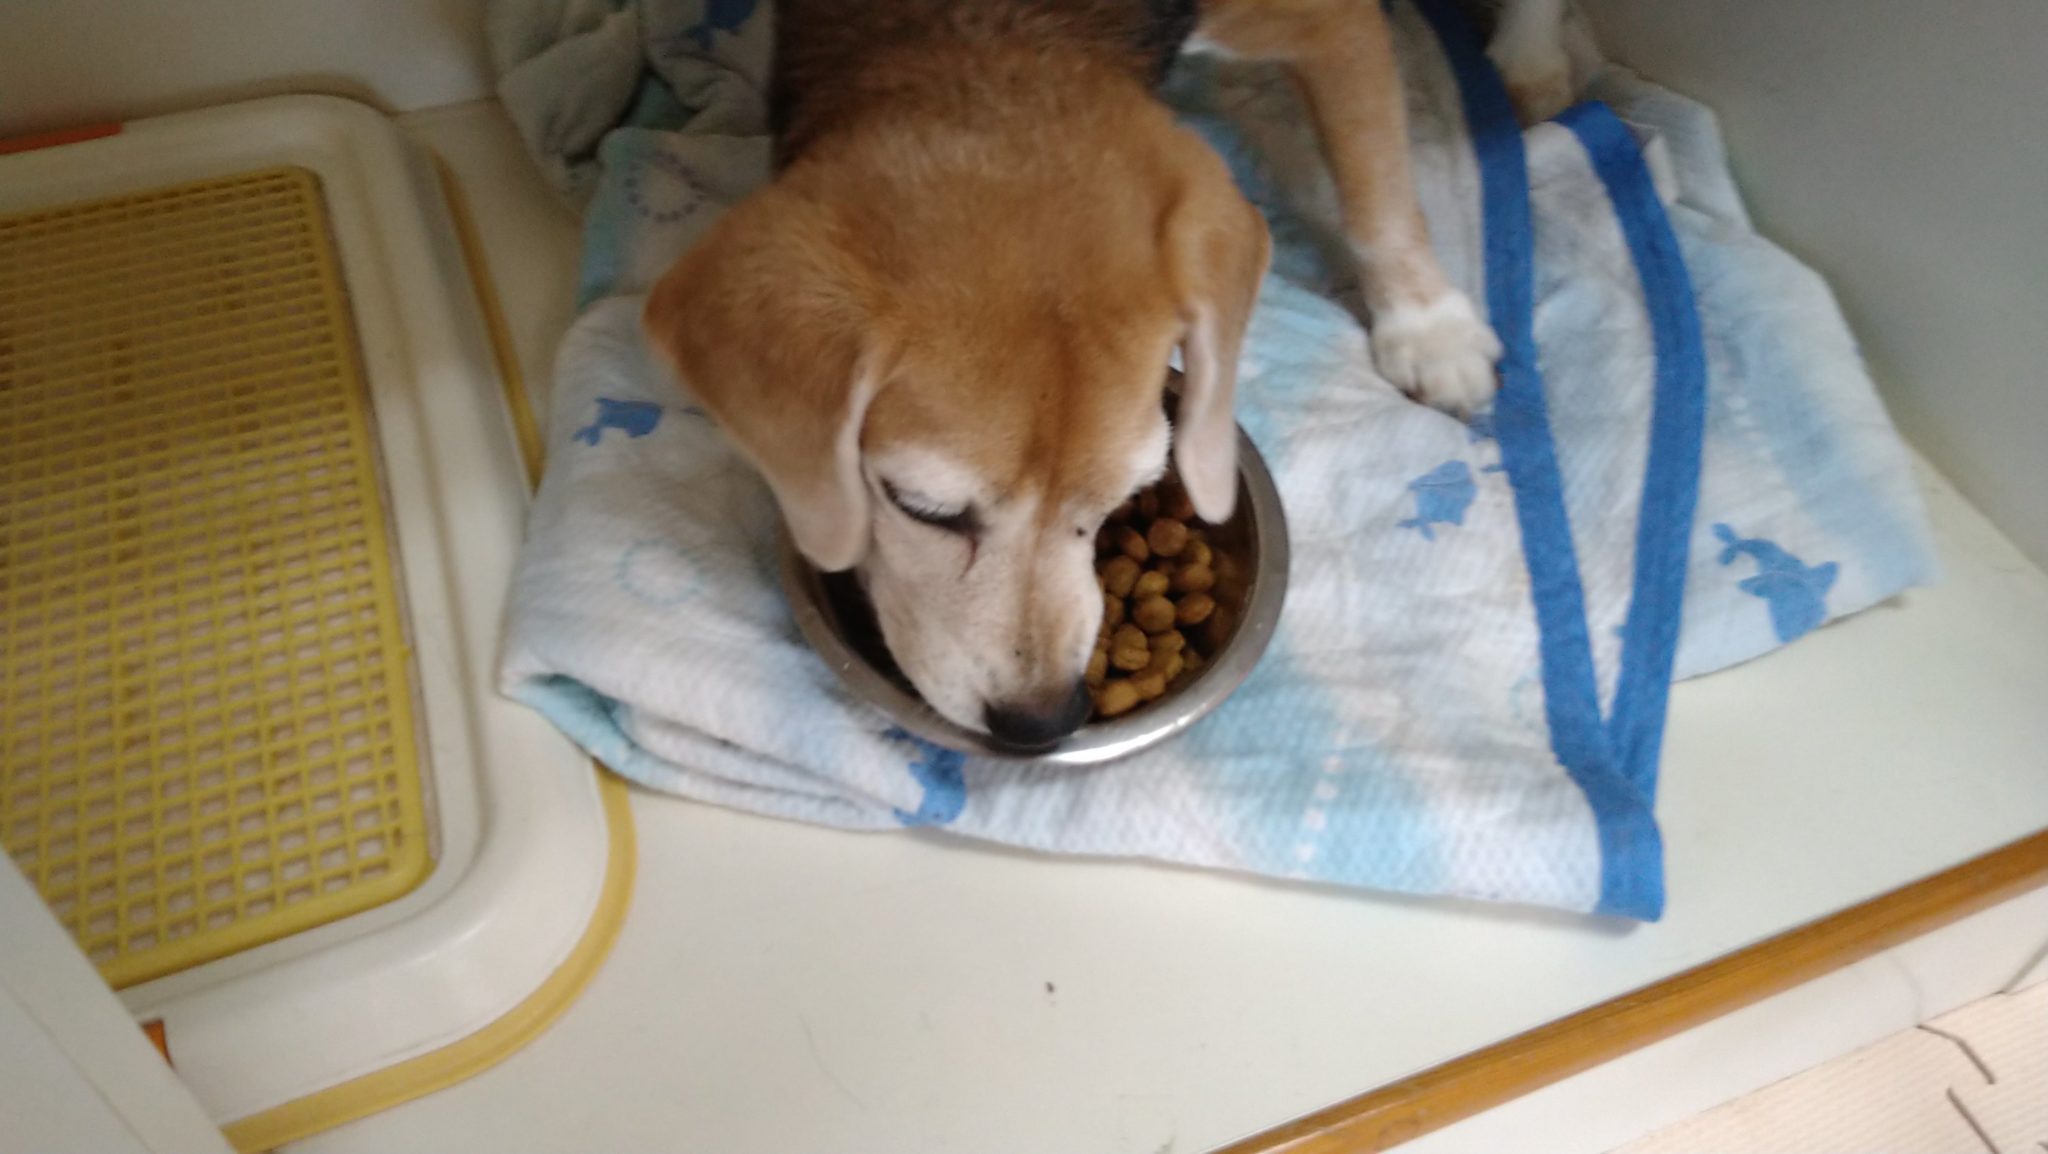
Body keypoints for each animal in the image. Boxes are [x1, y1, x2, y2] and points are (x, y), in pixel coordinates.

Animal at [644, 0, 1576, 748]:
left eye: (1126, 496)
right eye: (922, 510)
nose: (1042, 723)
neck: (984, 28)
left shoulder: (1333, 21)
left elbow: (1376, 177)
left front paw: (1428, 323)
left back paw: (1531, 59)